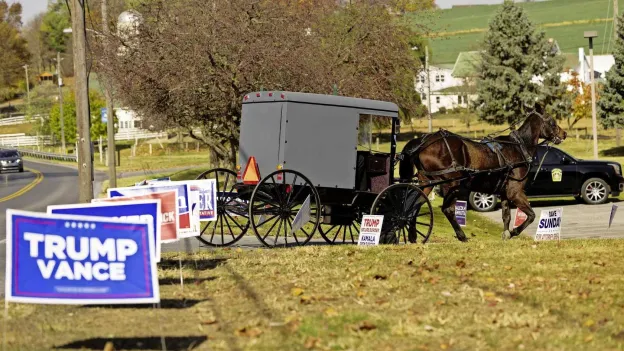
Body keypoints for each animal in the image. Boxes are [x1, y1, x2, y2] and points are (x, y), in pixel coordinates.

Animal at [400, 104, 564, 242]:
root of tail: (423, 141)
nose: (564, 133)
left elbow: (506, 216)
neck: (518, 146)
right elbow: (531, 215)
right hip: (451, 183)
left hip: (427, 183)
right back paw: (461, 236)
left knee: (414, 205)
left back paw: (413, 236)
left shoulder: (504, 192)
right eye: (552, 122)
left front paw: (506, 234)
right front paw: (514, 232)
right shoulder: (515, 191)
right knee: (448, 209)